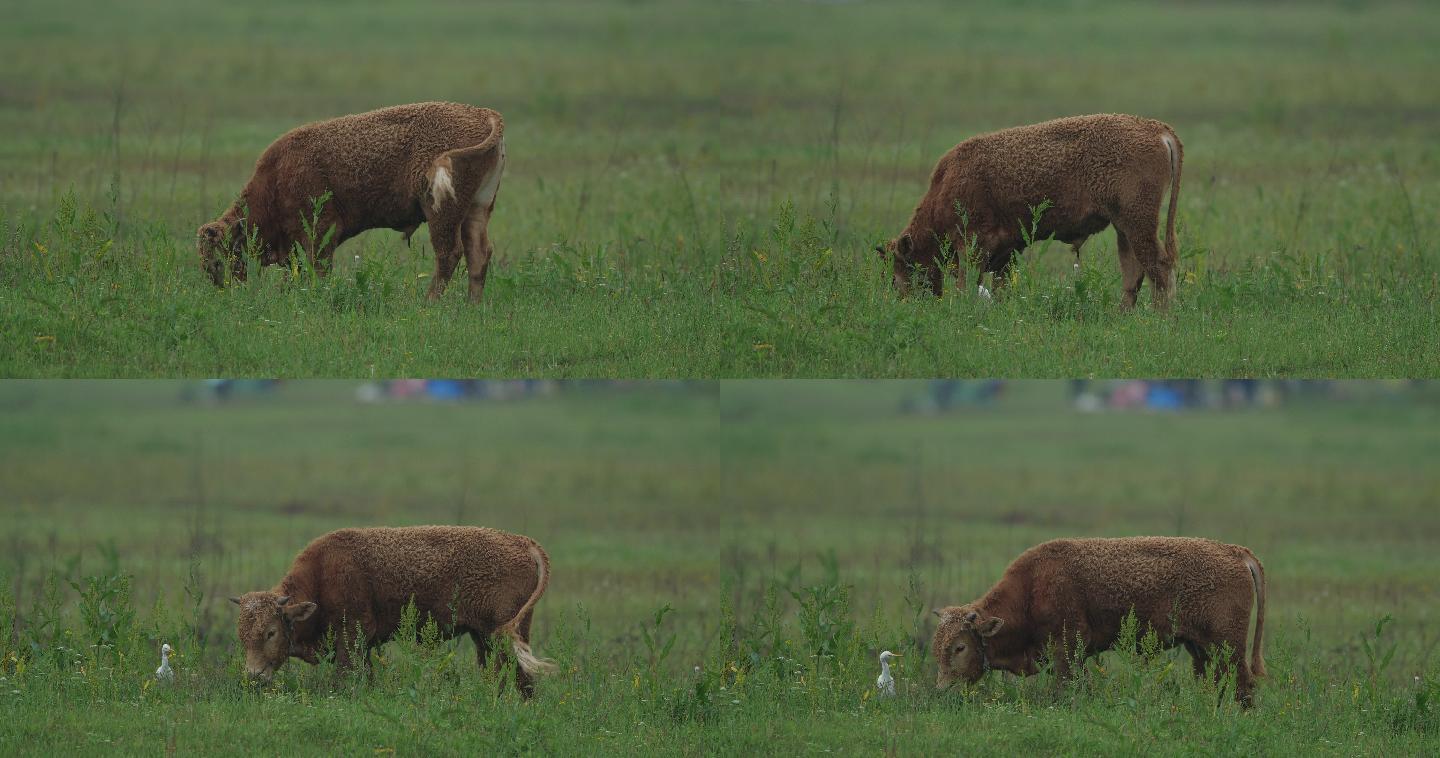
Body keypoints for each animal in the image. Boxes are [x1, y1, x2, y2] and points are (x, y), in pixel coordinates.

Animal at [195, 101, 501, 302]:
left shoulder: (320, 233)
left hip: (442, 212)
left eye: (218, 261)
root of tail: (486, 114)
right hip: (477, 209)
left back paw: (428, 303)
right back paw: (472, 305)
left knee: (449, 253)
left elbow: (318, 268)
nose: (225, 291)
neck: (276, 177)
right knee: (478, 253)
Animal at [230, 530, 550, 700]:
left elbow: (344, 677)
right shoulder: (364, 648)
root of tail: (523, 542)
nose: (253, 675)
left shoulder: (351, 641)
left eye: (270, 632)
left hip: (503, 635)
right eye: (241, 635)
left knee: (516, 674)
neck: (321, 576)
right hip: (484, 636)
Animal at [875, 114, 1180, 311]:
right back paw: (1123, 314)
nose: (903, 305)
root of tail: (1159, 130)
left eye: (897, 275)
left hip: (1137, 222)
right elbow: (1000, 286)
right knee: (1133, 271)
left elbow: (967, 283)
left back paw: (1160, 318)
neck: (945, 187)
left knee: (1158, 267)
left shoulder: (972, 246)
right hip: (1123, 226)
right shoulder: (1006, 251)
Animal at [933, 541, 1261, 706]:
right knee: (1216, 680)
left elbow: (1065, 688)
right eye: (937, 648)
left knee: (1243, 684)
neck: (1031, 589)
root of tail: (1237, 552)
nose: (942, 690)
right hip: (1201, 648)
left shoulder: (1066, 651)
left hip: (1228, 645)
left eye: (960, 647)